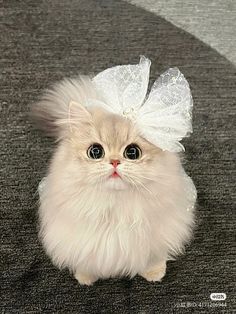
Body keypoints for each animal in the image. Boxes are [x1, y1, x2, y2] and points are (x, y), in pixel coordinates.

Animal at [32, 75, 196, 284]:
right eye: (95, 152)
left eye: (133, 152)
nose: (115, 162)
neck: (116, 209)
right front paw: (85, 277)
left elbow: (152, 256)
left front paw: (155, 273)